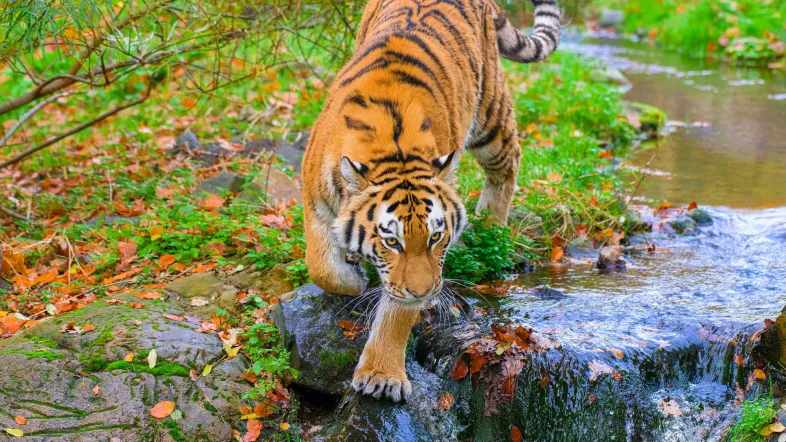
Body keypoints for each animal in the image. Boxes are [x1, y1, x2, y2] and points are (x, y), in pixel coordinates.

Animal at [301, 0, 561, 402]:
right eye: (391, 241)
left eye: (436, 237)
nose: (424, 292)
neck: (391, 150)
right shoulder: (315, 202)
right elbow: (321, 267)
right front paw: (353, 279)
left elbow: (397, 314)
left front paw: (381, 376)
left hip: (489, 113)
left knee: (510, 159)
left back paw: (491, 227)